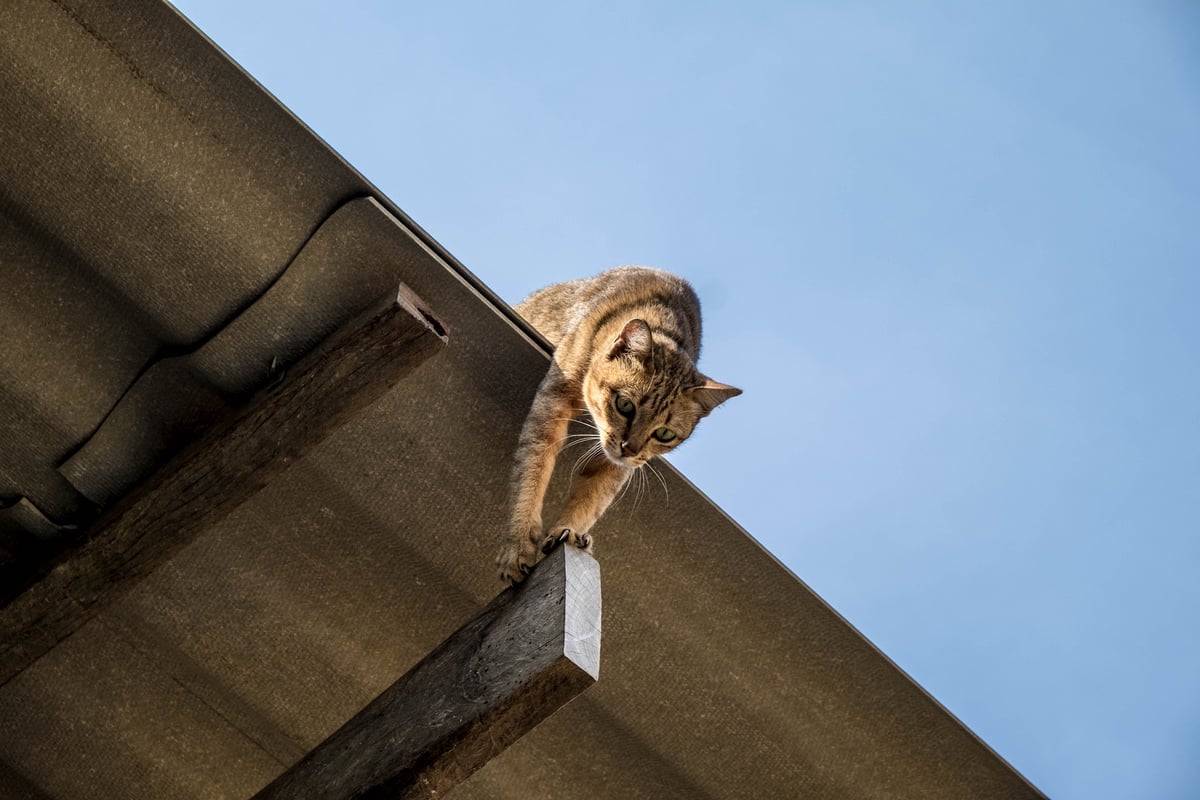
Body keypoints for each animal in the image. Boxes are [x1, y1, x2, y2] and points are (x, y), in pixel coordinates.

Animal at [492, 266, 734, 585]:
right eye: (625, 405)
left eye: (664, 433)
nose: (628, 448)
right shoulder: (552, 405)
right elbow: (532, 472)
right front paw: (518, 546)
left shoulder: (618, 465)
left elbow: (592, 499)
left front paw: (569, 532)